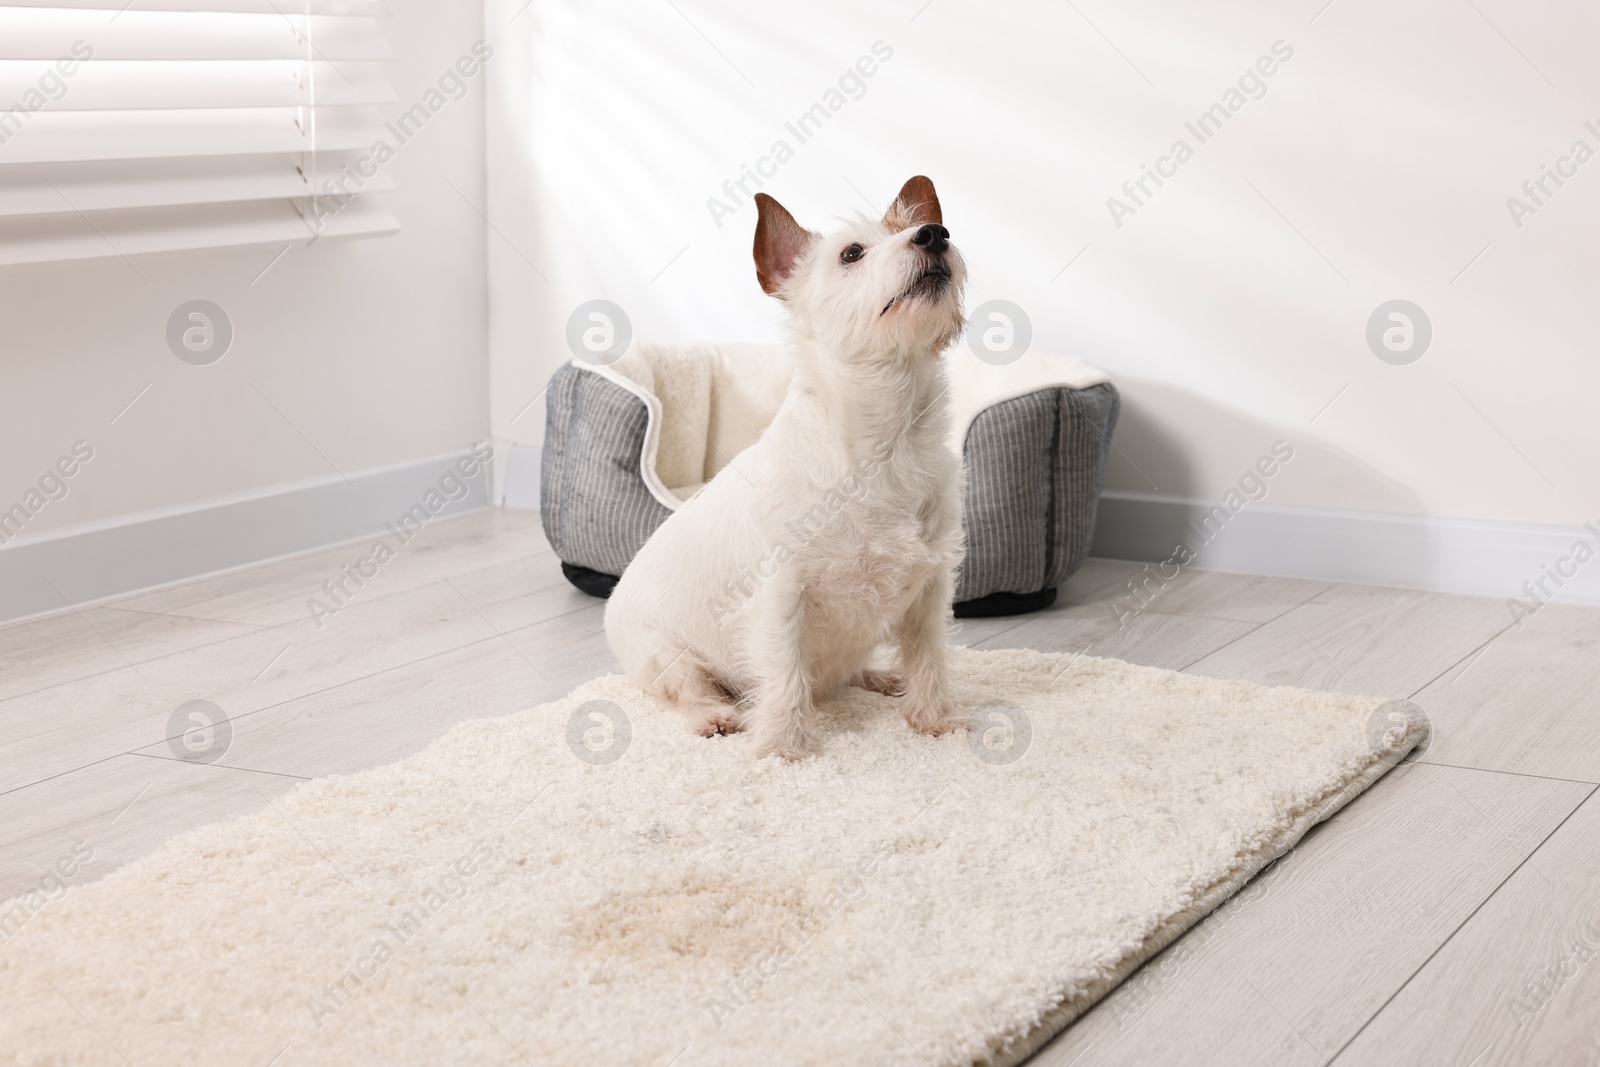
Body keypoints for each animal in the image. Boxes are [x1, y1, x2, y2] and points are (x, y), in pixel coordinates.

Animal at [604, 177, 966, 758]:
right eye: (851, 254)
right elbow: (784, 678)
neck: (887, 444)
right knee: (689, 692)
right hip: (665, 655)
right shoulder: (779, 600)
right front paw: (782, 750)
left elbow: (930, 658)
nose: (934, 233)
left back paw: (880, 676)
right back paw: (716, 715)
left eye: (911, 229)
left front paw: (934, 721)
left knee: (850, 671)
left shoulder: (930, 590)